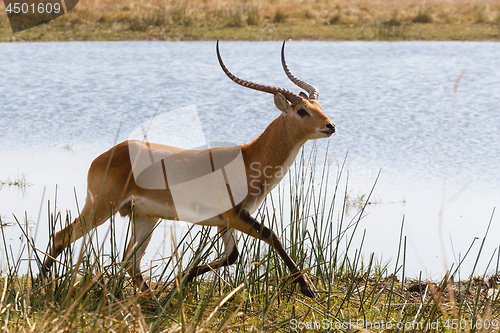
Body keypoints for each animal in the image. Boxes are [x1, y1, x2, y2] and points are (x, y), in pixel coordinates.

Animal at [41, 40, 334, 296]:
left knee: (130, 260)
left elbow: (232, 256)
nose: (330, 126)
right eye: (302, 111)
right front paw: (308, 289)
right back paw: (43, 286)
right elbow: (273, 237)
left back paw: (152, 300)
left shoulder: (226, 221)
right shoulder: (236, 216)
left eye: (319, 106)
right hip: (101, 208)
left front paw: (180, 280)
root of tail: (107, 154)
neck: (249, 158)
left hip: (144, 217)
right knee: (61, 236)